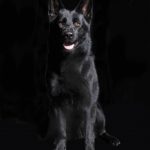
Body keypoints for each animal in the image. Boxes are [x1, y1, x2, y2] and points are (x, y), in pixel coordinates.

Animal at [47, 0, 120, 150]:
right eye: (61, 23)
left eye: (77, 24)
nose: (68, 34)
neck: (69, 61)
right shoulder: (57, 103)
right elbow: (61, 129)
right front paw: (60, 145)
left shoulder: (89, 104)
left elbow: (89, 132)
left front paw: (89, 147)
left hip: (98, 112)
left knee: (100, 131)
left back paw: (111, 138)